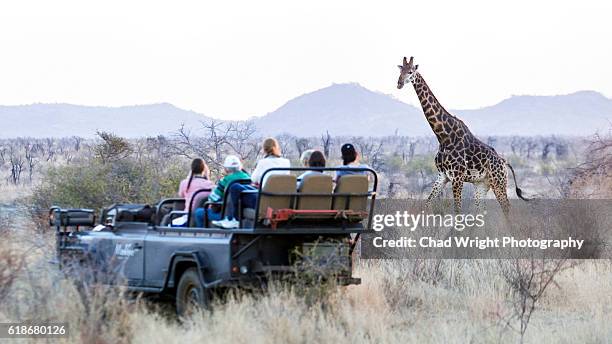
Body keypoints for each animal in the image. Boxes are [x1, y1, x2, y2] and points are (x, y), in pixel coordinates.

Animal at [394, 55, 528, 212]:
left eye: (410, 72)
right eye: (400, 71)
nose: (399, 83)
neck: (443, 137)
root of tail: (505, 163)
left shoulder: (457, 177)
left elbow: (457, 210)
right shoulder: (442, 175)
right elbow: (427, 204)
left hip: (498, 182)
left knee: (506, 207)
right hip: (482, 184)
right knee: (481, 210)